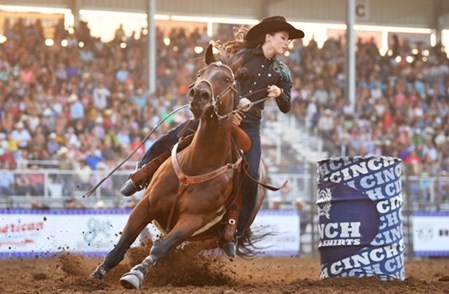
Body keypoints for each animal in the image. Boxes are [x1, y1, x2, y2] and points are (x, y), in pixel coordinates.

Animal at [90, 44, 266, 290]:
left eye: (227, 79)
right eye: (201, 73)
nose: (199, 95)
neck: (197, 163)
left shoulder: (192, 220)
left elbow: (161, 248)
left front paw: (136, 274)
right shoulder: (146, 205)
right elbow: (123, 243)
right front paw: (98, 273)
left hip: (208, 237)